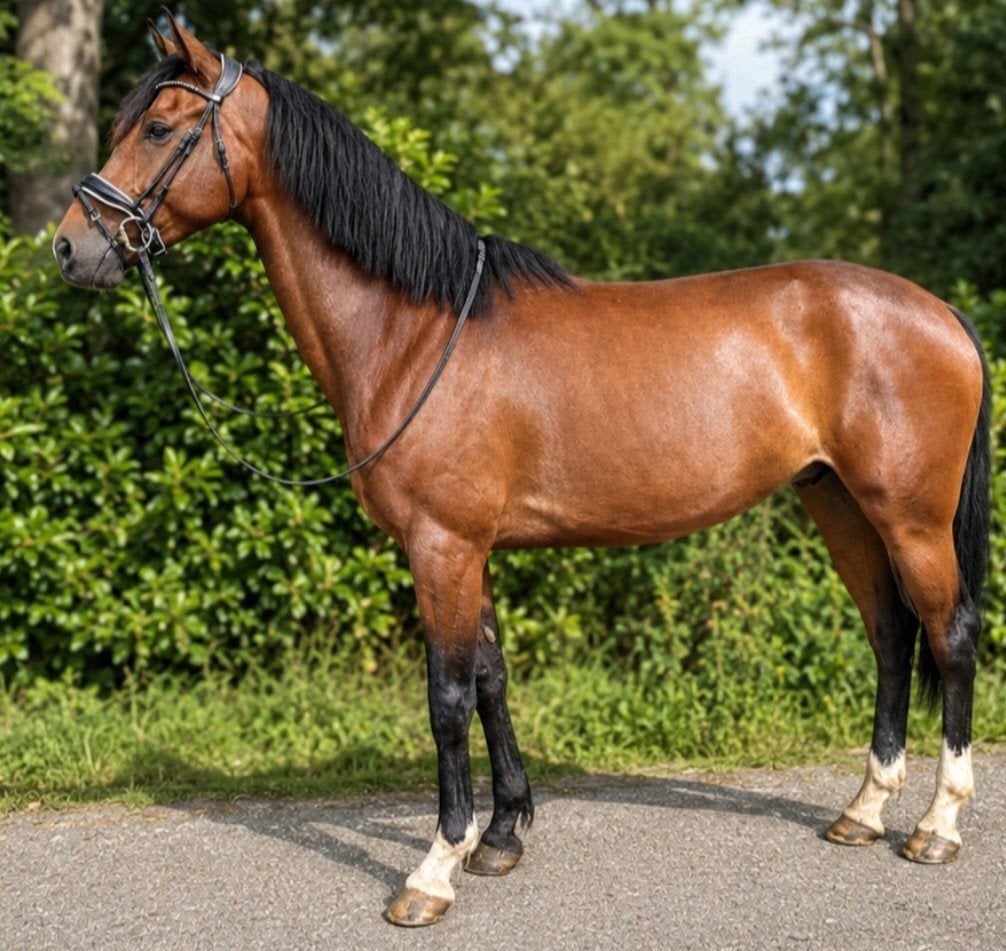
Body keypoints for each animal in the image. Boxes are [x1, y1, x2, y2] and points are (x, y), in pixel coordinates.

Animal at [55, 13, 990, 928]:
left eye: (159, 127)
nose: (70, 247)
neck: (417, 330)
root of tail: (940, 309)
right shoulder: (470, 548)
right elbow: (492, 678)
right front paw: (501, 834)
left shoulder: (442, 545)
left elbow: (446, 697)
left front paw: (435, 867)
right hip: (839, 504)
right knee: (890, 633)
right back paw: (863, 811)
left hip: (909, 516)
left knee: (949, 635)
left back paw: (936, 826)